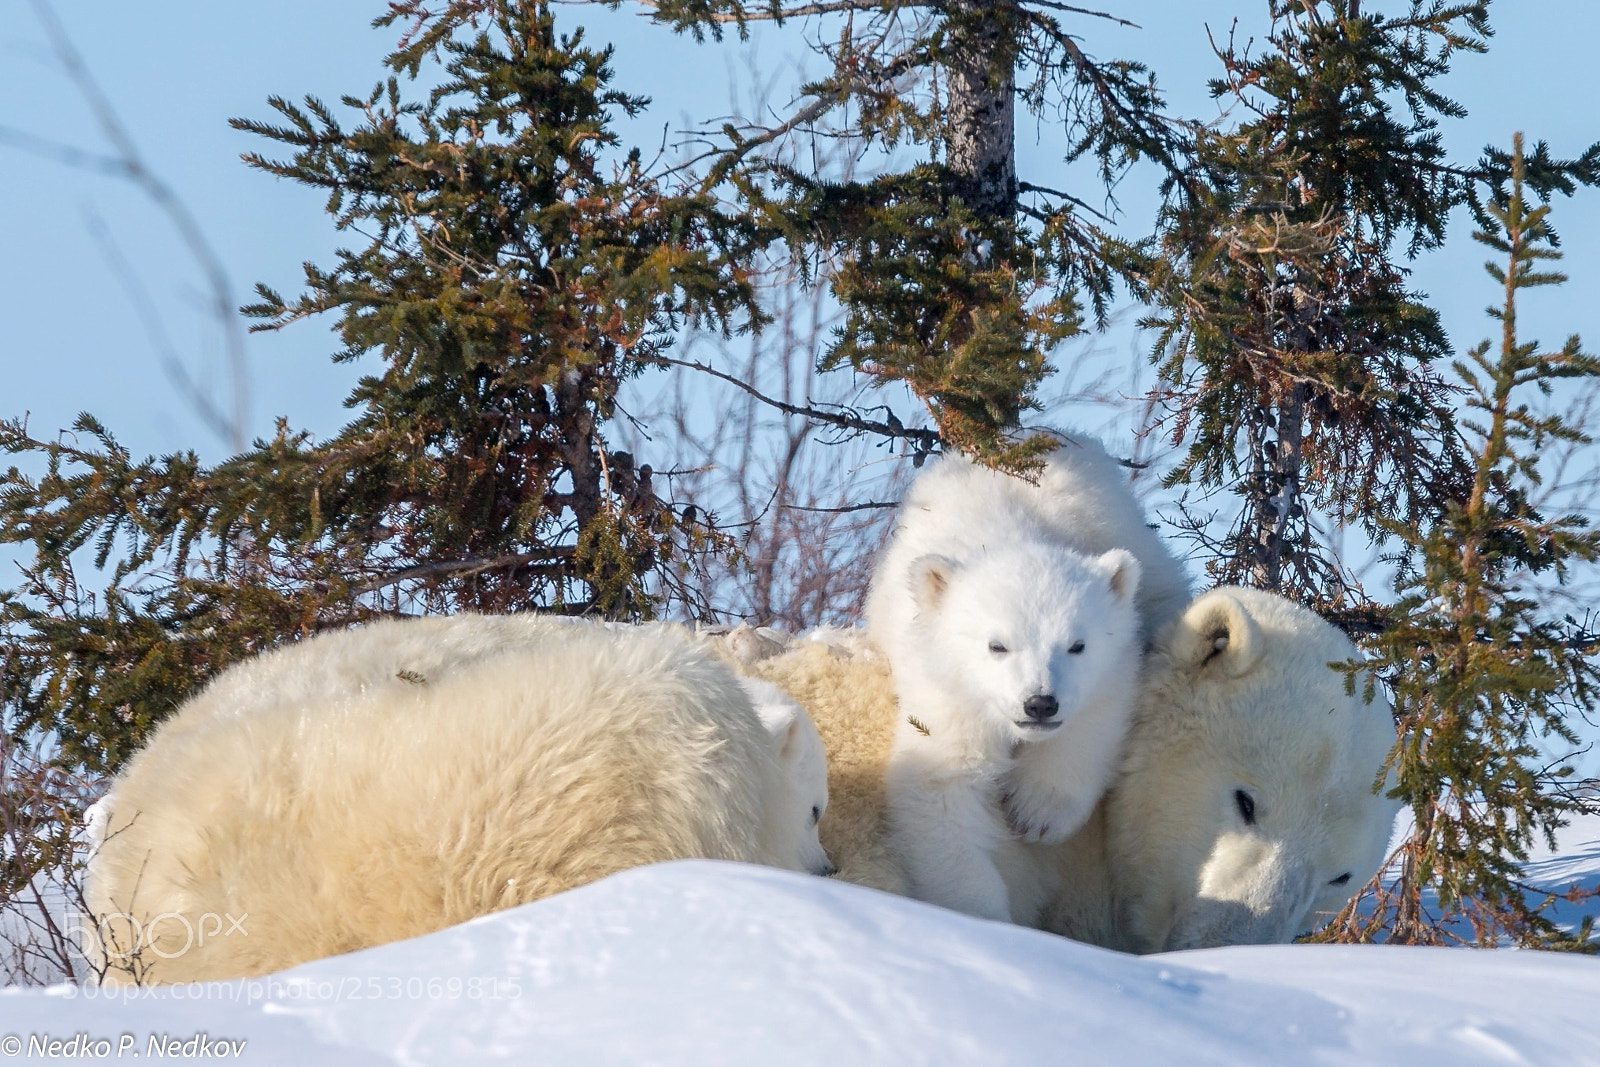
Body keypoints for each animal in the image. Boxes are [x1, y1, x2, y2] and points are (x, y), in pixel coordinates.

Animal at [877, 539, 1145, 923]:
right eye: (997, 646)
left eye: (1077, 645)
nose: (1040, 703)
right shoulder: (945, 690)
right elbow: (944, 787)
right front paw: (983, 916)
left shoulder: (1117, 666)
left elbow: (1099, 712)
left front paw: (1037, 814)